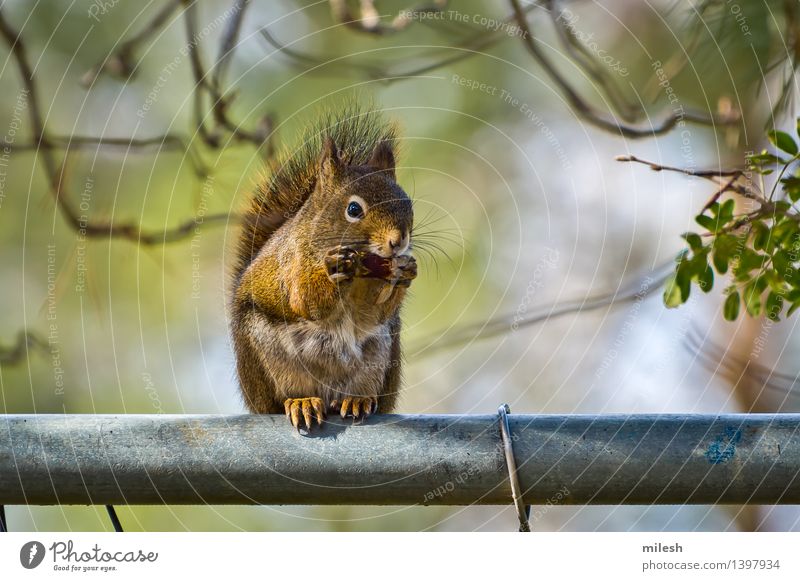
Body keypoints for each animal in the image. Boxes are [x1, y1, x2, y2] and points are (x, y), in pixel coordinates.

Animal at [230, 106, 418, 428]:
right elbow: (305, 301)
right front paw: (333, 271)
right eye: (353, 209)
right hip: (268, 358)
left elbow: (372, 315)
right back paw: (302, 402)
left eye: (408, 206)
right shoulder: (291, 263)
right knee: (287, 395)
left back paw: (356, 400)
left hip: (378, 356)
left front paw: (404, 271)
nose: (398, 241)